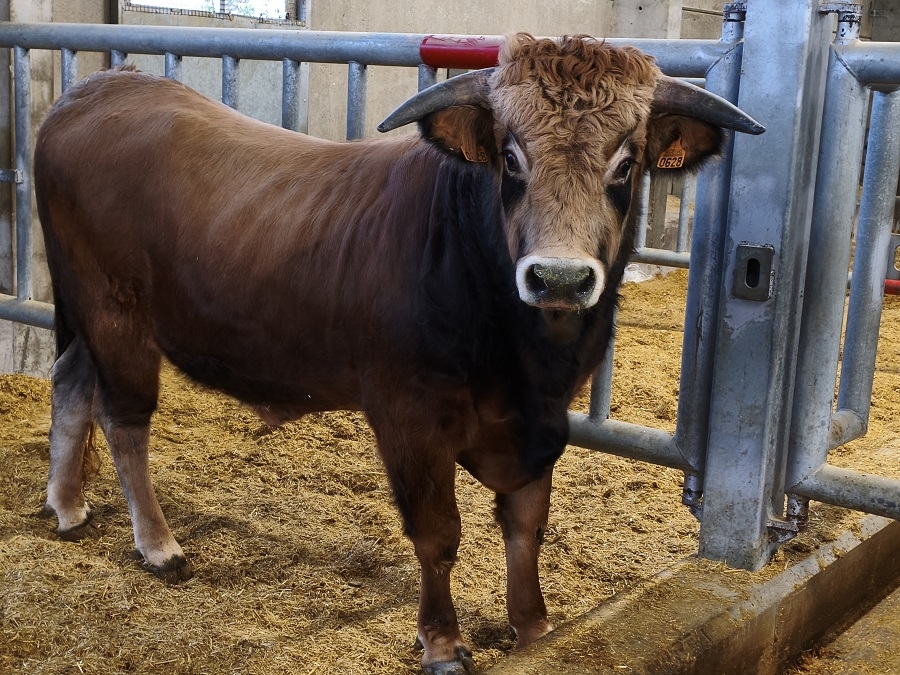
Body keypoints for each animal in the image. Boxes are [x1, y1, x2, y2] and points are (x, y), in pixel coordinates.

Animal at [34, 33, 762, 674]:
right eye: (510, 159)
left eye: (627, 162)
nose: (559, 277)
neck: (525, 360)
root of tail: (102, 88)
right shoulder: (409, 417)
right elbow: (438, 533)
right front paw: (441, 643)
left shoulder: (543, 422)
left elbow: (526, 524)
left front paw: (535, 628)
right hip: (114, 315)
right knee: (123, 420)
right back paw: (158, 545)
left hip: (86, 319)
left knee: (70, 384)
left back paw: (67, 506)